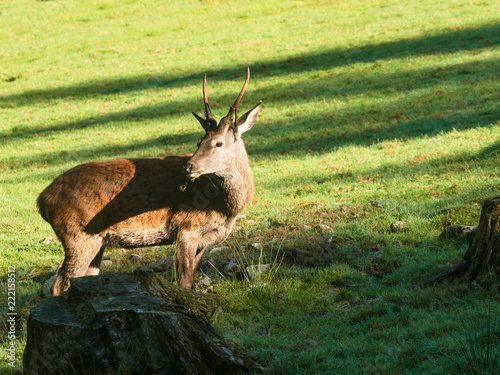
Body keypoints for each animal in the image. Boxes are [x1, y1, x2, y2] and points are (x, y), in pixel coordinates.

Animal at [38, 67, 262, 296]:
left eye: (218, 143)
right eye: (199, 142)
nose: (188, 167)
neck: (225, 209)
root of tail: (41, 200)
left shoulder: (204, 239)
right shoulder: (185, 228)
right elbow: (184, 282)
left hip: (96, 241)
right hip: (77, 236)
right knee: (60, 283)